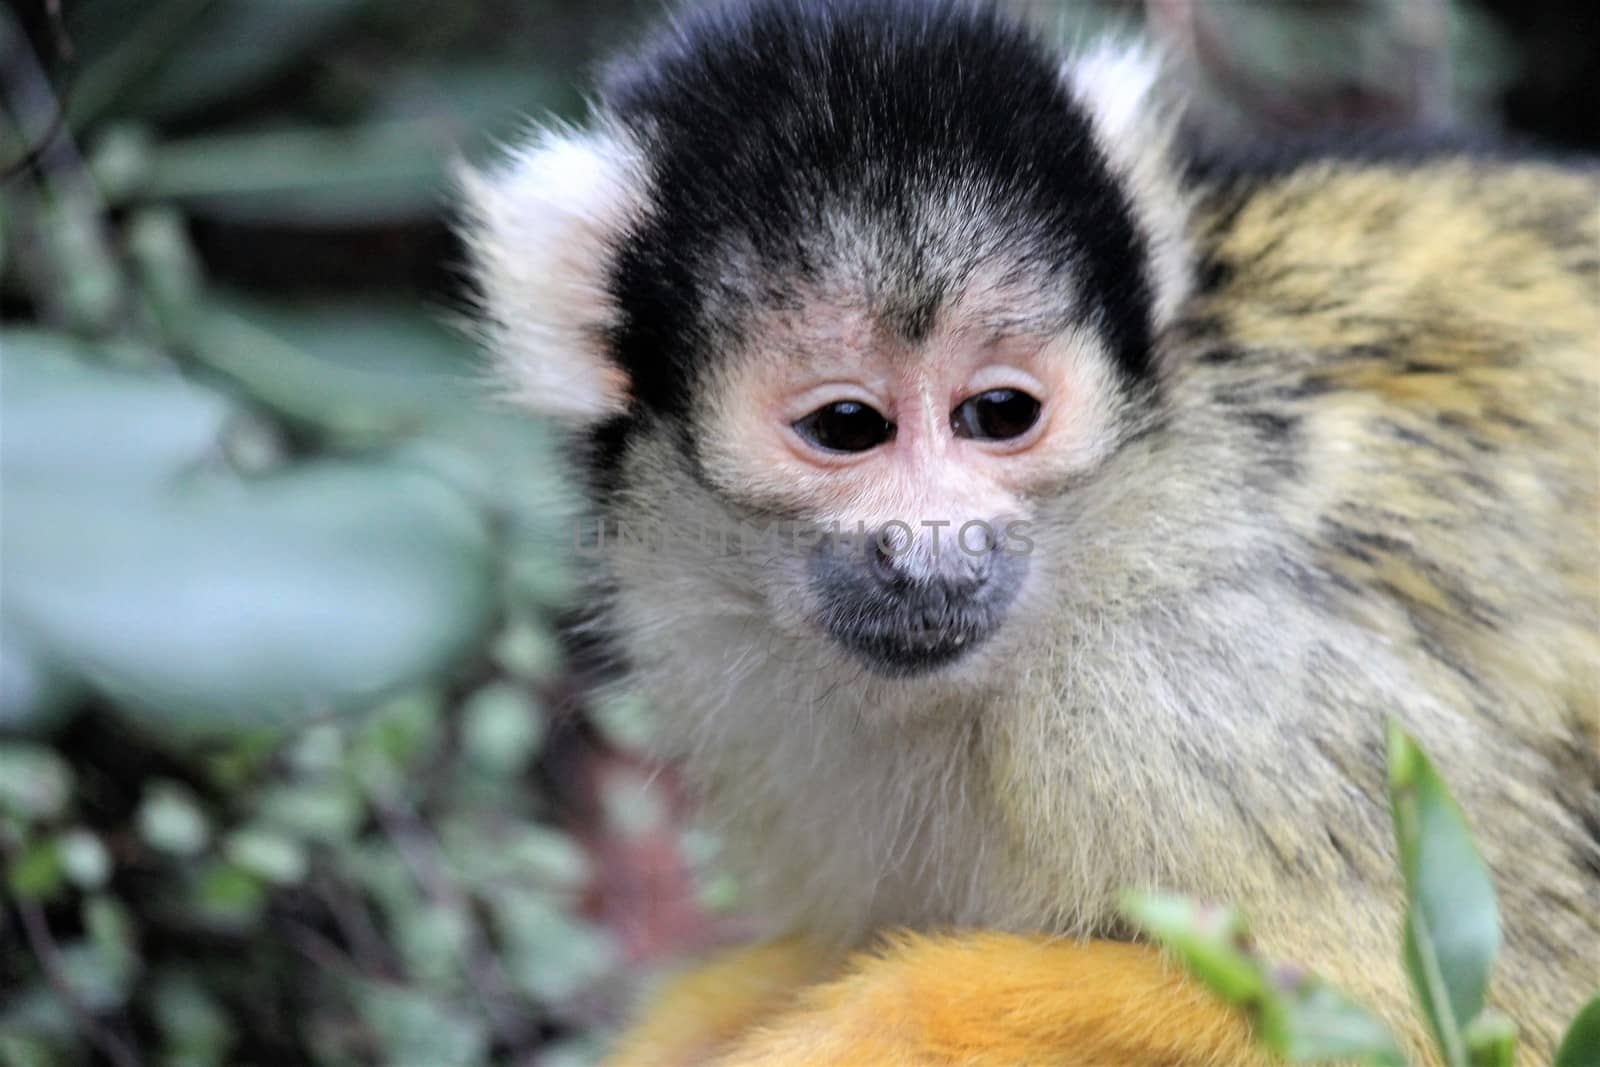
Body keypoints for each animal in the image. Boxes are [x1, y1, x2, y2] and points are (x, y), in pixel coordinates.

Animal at [457, 0, 1593, 1062]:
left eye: (999, 414)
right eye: (847, 427)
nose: (933, 547)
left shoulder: (1201, 693)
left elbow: (1443, 1019)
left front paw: (884, 1021)